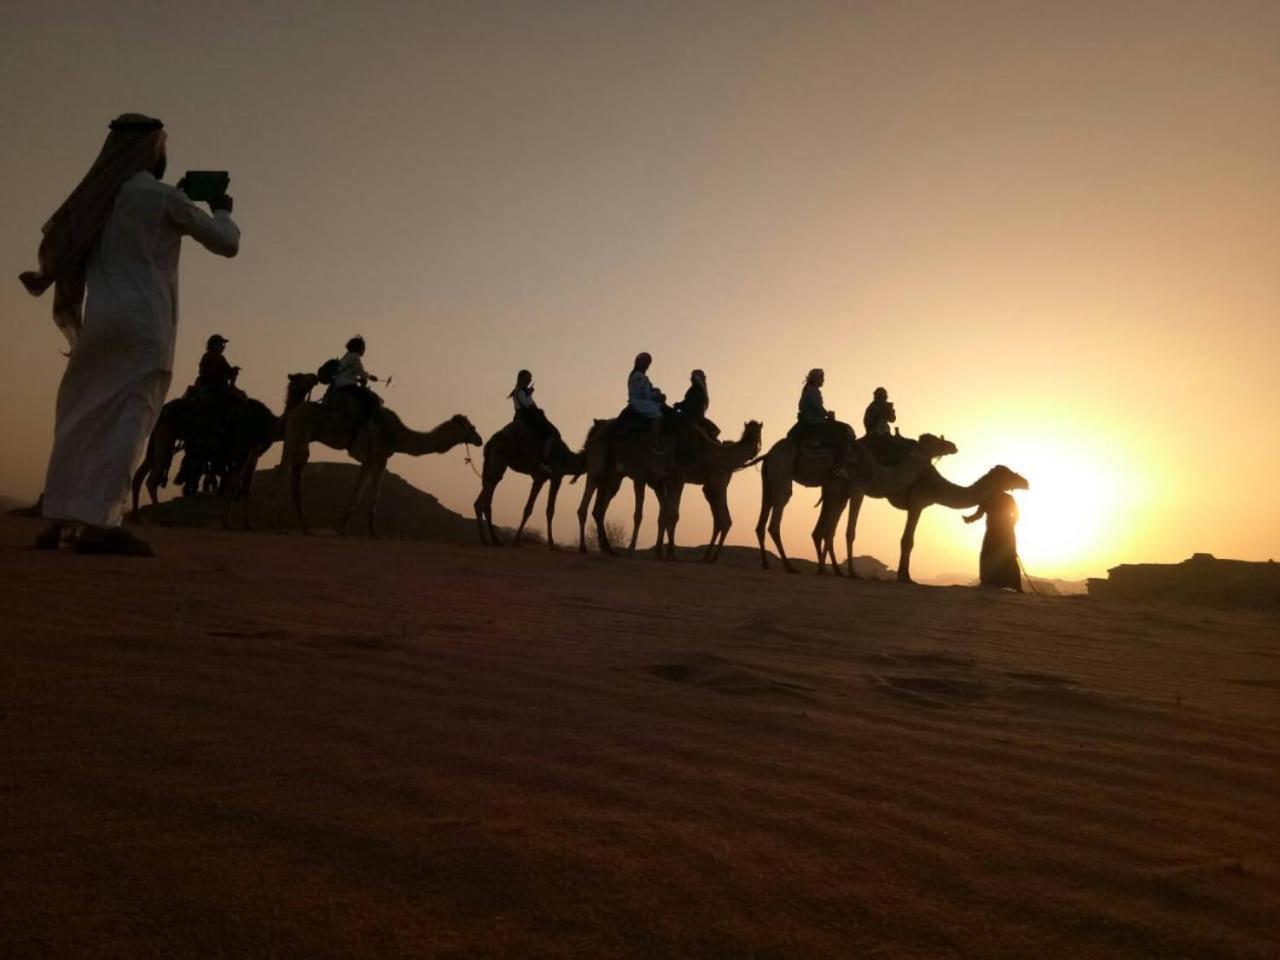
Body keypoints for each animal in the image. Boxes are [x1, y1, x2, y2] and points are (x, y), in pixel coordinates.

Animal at [130, 371, 320, 529]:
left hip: (156, 440)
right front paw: (226, 523)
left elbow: (247, 488)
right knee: (152, 480)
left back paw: (138, 519)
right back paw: (162, 520)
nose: (315, 376)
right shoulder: (243, 451)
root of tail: (162, 410)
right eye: (301, 376)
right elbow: (234, 484)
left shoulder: (253, 455)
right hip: (166, 437)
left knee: (139, 475)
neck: (268, 425)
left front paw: (247, 525)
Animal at [279, 394, 481, 537]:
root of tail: (295, 411)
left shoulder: (368, 461)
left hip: (297, 434)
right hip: (299, 431)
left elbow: (357, 492)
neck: (400, 436)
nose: (479, 440)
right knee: (286, 469)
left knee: (293, 469)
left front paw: (342, 528)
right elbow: (376, 494)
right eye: (471, 427)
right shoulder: (381, 456)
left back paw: (303, 527)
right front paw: (374, 532)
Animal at [578, 419, 762, 555]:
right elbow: (667, 514)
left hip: (613, 473)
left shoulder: (664, 481)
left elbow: (664, 515)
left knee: (599, 508)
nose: (755, 451)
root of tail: (596, 429)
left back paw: (607, 549)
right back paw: (585, 547)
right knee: (589, 496)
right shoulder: (674, 477)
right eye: (758, 435)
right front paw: (669, 552)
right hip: (600, 460)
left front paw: (660, 552)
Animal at [752, 435, 957, 578]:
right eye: (933, 441)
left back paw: (766, 564)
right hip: (782, 473)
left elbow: (829, 530)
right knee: (775, 520)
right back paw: (789, 567)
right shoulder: (857, 489)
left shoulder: (839, 492)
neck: (876, 471)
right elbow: (849, 531)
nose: (952, 446)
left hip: (768, 480)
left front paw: (830, 570)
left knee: (763, 521)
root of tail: (769, 454)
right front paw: (850, 572)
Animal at [839, 463, 1029, 583]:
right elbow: (907, 541)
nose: (1025, 482)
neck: (937, 487)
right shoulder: (917, 501)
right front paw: (905, 577)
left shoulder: (917, 505)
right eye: (1008, 473)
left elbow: (907, 541)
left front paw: (903, 575)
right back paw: (851, 572)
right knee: (848, 529)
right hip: (858, 485)